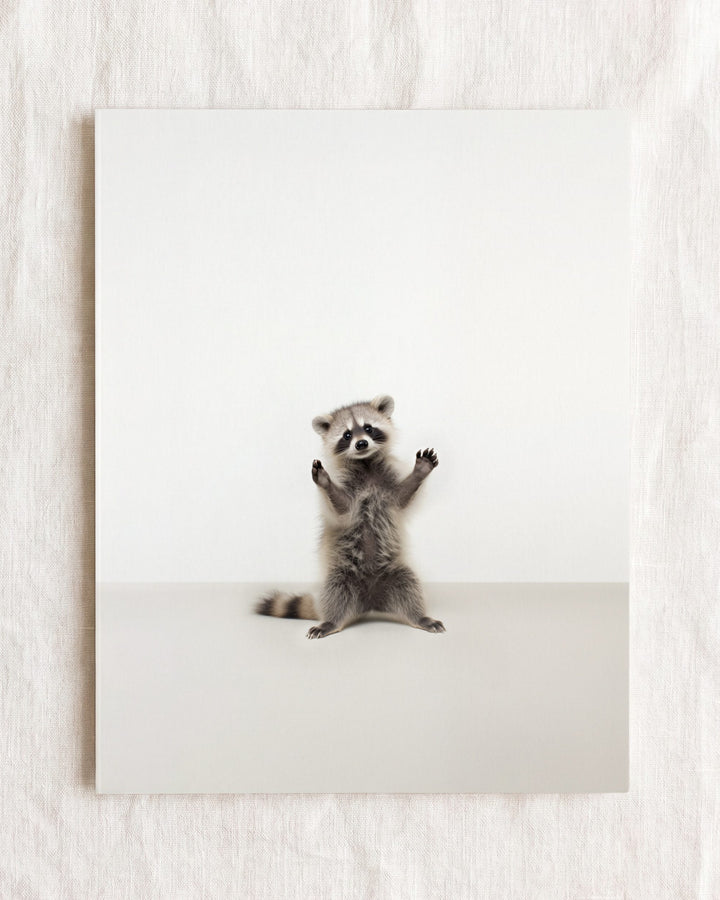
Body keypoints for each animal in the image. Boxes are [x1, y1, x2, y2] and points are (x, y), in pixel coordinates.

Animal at [255, 394, 445, 639]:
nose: (361, 443)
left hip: (395, 571)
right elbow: (342, 509)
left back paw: (419, 617)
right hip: (341, 574)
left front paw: (419, 472)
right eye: (347, 435)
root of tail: (371, 602)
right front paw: (326, 483)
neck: (366, 463)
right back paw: (331, 621)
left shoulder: (387, 482)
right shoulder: (347, 485)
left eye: (368, 428)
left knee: (410, 586)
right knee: (335, 592)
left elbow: (402, 499)